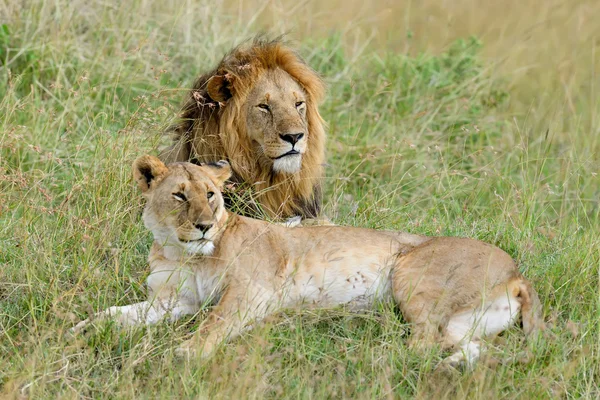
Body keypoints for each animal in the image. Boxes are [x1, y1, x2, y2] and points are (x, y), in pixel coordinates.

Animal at [72, 155, 548, 368]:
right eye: (179, 195)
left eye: (211, 194)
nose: (205, 226)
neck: (181, 251)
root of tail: (518, 274)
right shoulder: (174, 300)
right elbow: (120, 314)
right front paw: (85, 329)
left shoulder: (255, 291)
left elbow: (214, 323)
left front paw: (185, 354)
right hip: (465, 323)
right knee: (469, 346)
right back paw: (451, 368)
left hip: (409, 271)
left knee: (423, 342)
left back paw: (376, 359)